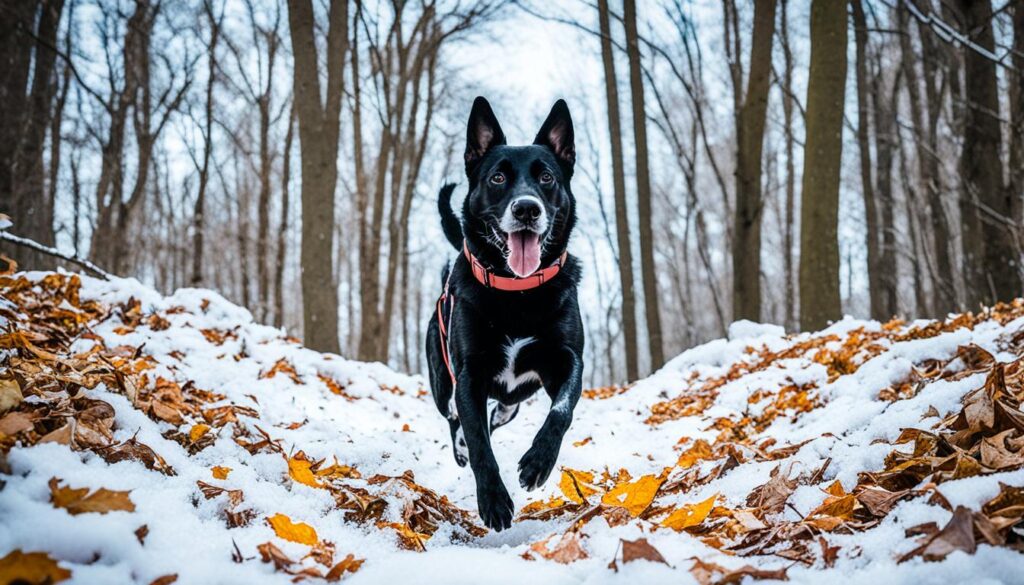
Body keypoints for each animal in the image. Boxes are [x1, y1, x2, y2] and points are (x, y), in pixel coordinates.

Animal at [423, 97, 585, 532]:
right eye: (497, 178)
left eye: (546, 178)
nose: (527, 209)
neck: (518, 292)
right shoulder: (469, 375)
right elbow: (480, 444)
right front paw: (494, 500)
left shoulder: (568, 361)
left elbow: (562, 408)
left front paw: (537, 463)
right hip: (441, 382)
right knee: (455, 418)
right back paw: (461, 445)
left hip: (514, 399)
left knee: (499, 414)